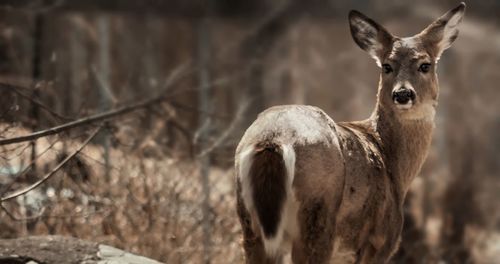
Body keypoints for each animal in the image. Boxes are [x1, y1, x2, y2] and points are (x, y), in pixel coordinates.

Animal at [234, 2, 464, 264]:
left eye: (425, 65)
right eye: (387, 66)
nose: (403, 94)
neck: (392, 162)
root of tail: (273, 139)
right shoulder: (378, 240)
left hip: (248, 220)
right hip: (317, 212)